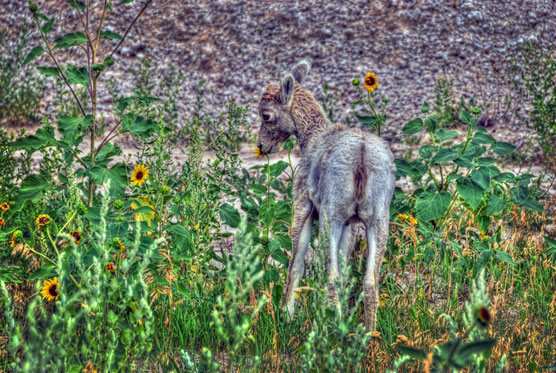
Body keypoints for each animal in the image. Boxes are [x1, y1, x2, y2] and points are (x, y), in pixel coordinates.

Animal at [256, 60, 396, 328]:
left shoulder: (304, 206)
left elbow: (296, 264)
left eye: (266, 115)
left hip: (332, 219)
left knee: (330, 276)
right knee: (369, 282)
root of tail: (361, 156)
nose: (261, 146)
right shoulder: (352, 224)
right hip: (378, 221)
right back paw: (368, 333)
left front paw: (287, 314)